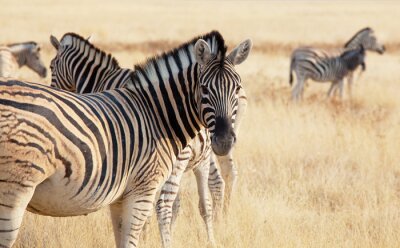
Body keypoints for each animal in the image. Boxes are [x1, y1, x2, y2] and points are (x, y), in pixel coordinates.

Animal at [0, 30, 250, 248]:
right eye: (204, 88)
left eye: (236, 88)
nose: (224, 140)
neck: (156, 113)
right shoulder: (138, 187)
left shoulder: (129, 190)